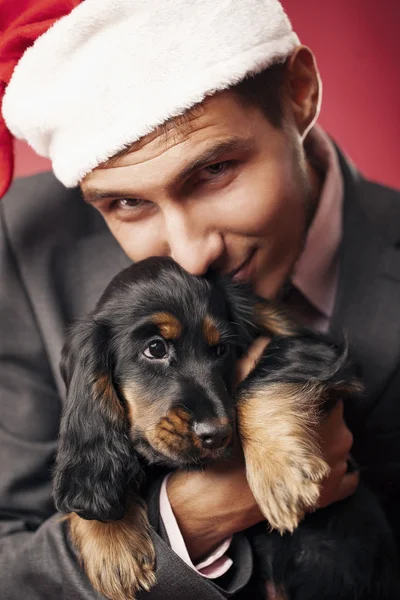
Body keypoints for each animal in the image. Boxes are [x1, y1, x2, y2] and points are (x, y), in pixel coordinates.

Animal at [53, 256, 400, 600]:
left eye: (222, 350)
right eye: (155, 348)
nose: (216, 435)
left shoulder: (320, 352)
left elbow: (265, 370)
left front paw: (279, 471)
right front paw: (111, 542)